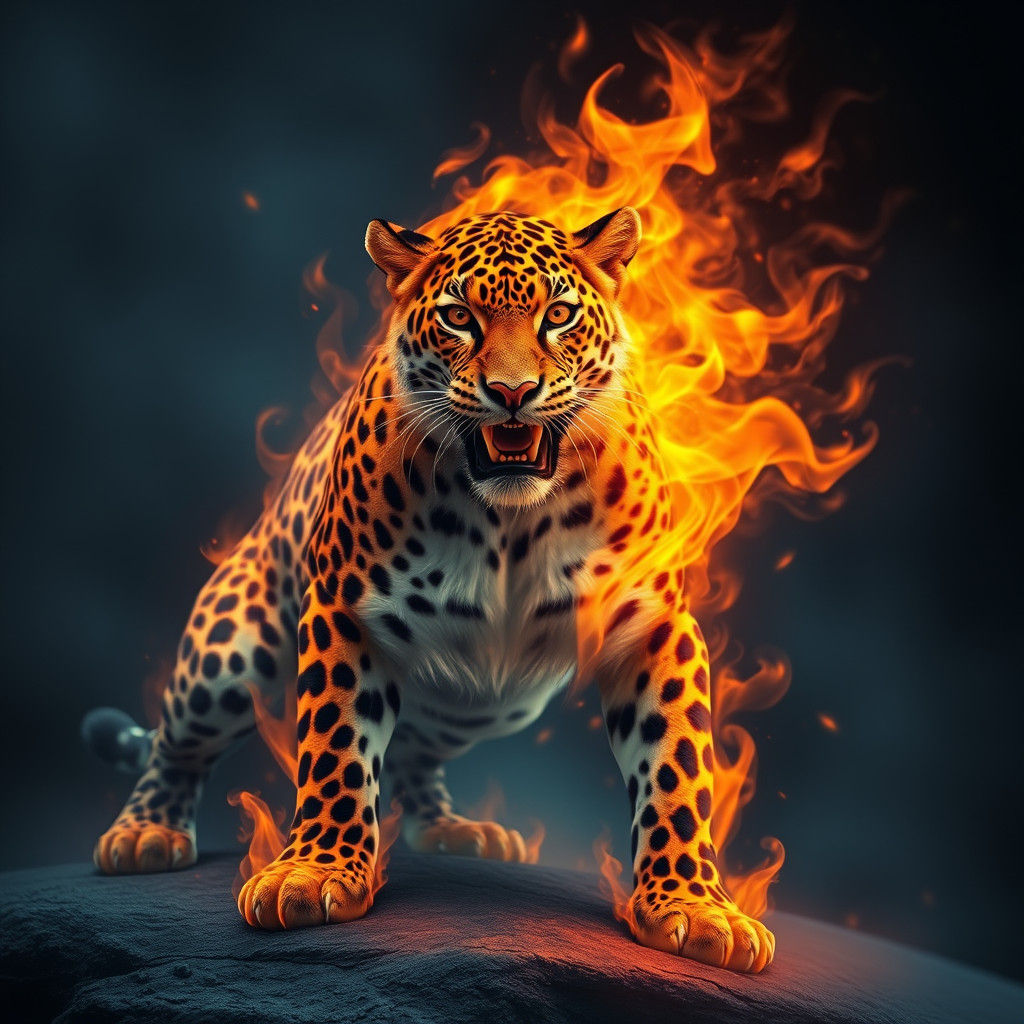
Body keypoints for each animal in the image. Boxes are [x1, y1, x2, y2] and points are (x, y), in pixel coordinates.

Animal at [91, 207, 775, 973]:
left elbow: (677, 771)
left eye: (559, 315)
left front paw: (695, 909)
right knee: (176, 743)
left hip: (483, 707)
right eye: (458, 318)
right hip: (229, 655)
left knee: (415, 749)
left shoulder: (653, 623)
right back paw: (145, 833)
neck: (509, 522)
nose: (513, 393)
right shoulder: (344, 610)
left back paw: (453, 829)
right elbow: (335, 749)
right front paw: (315, 874)